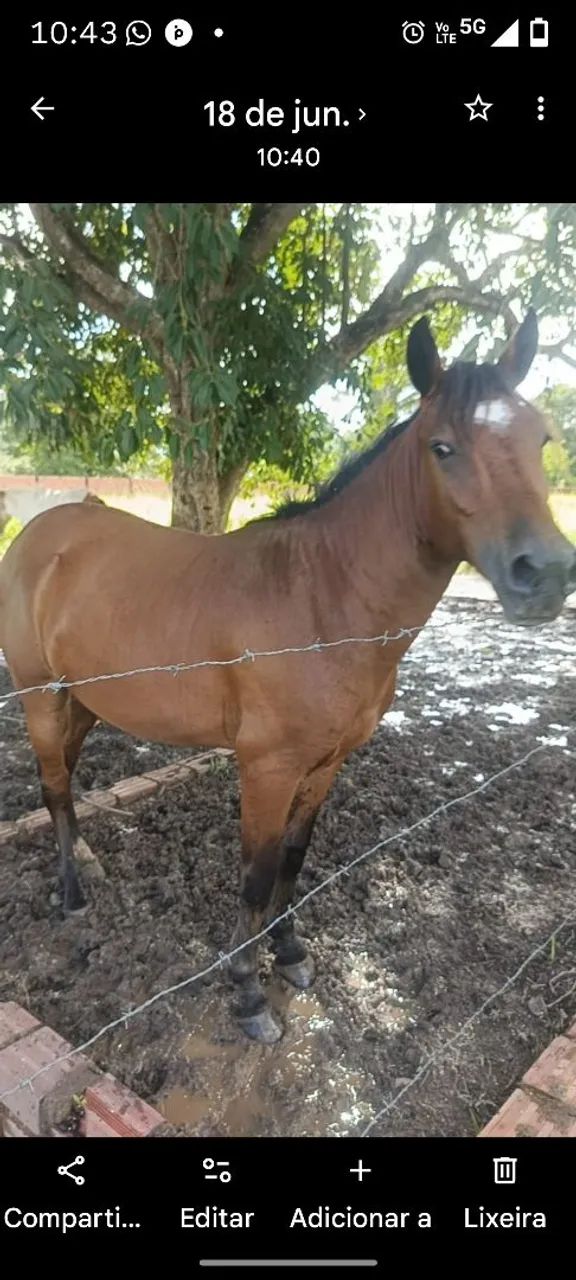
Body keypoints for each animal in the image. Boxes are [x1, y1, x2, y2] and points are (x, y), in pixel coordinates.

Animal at [0, 310, 574, 1044]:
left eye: (541, 438)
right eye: (442, 447)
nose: (546, 574)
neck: (321, 598)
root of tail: (40, 534)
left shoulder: (326, 764)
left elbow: (295, 862)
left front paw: (291, 953)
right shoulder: (267, 767)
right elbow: (257, 872)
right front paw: (247, 993)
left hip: (85, 701)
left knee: (67, 782)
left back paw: (87, 863)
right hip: (39, 698)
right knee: (51, 787)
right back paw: (72, 895)